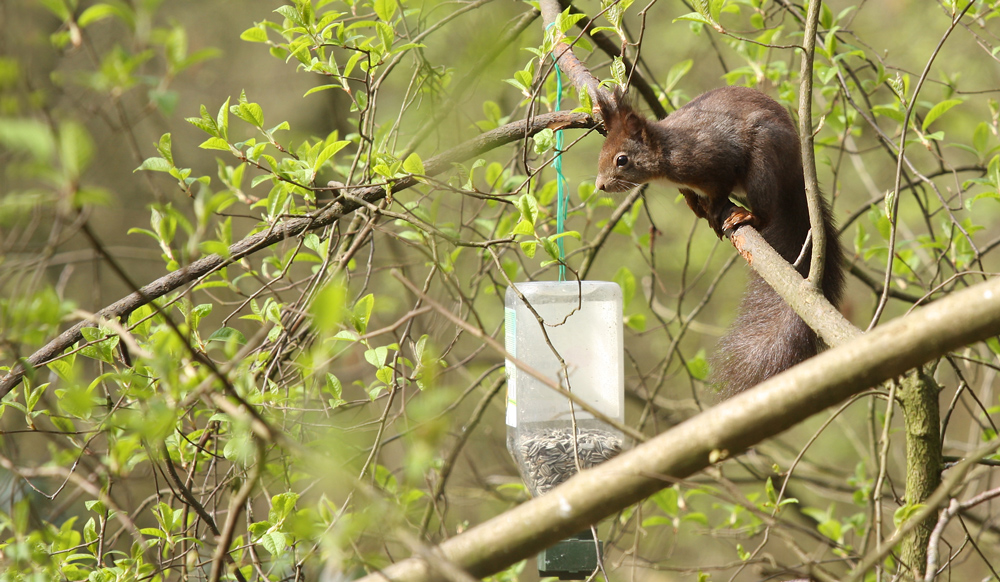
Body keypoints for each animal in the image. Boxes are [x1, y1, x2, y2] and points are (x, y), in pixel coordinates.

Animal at [592, 86, 844, 396]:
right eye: (602, 153)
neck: (668, 152)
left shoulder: (715, 157)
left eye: (622, 159)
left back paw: (745, 216)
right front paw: (693, 201)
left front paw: (713, 207)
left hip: (764, 160)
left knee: (766, 212)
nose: (600, 185)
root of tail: (796, 170)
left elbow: (722, 183)